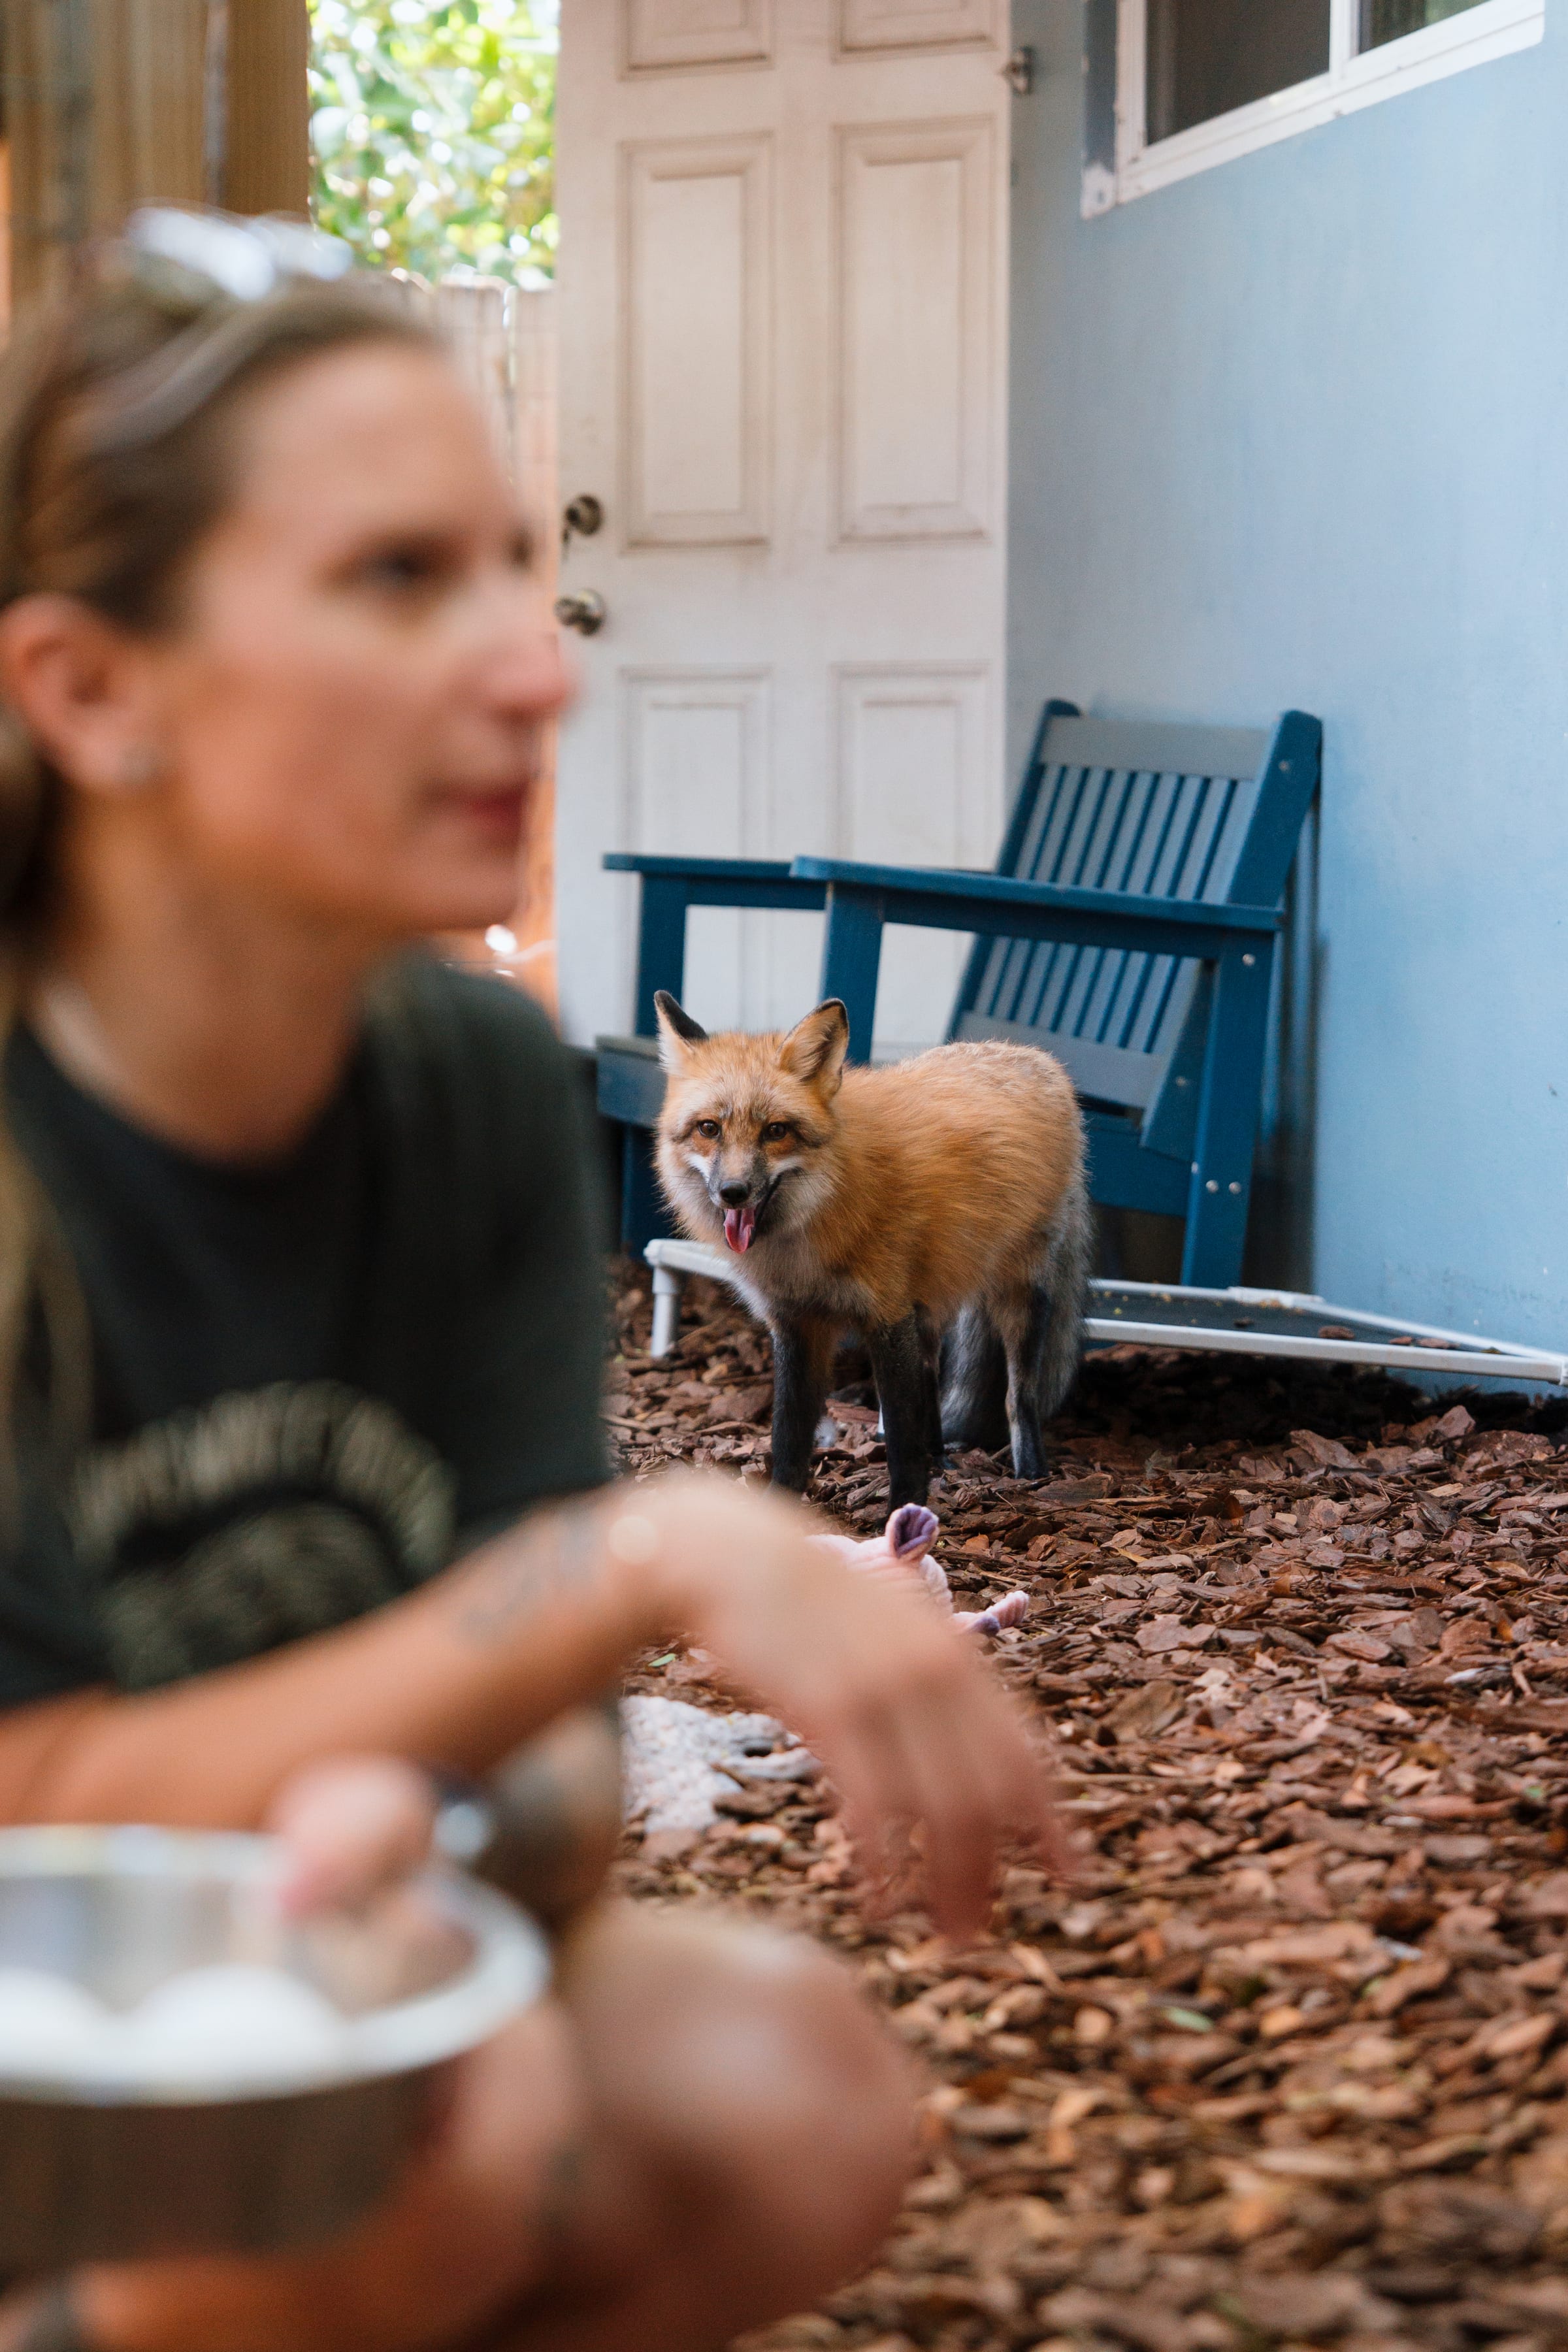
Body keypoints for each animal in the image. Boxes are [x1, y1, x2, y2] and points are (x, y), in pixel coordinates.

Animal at [653, 991, 1091, 1507]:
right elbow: (788, 1437)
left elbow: (901, 1438)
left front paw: (906, 1515)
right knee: (931, 1384)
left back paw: (1032, 1474)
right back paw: (940, 1459)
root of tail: (1035, 1056)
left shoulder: (887, 1317)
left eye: (776, 1131)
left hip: (1019, 1298)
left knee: (1018, 1397)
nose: (733, 1193)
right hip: (930, 1307)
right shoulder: (796, 1324)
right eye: (709, 1129)